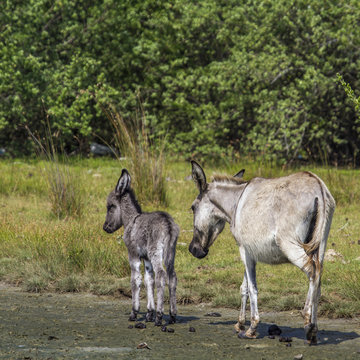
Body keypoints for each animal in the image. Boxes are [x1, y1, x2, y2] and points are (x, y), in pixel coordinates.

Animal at [102, 169, 179, 326]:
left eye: (110, 206)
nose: (105, 228)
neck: (131, 220)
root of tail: (167, 223)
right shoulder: (146, 258)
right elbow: (149, 280)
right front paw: (149, 313)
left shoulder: (133, 255)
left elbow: (135, 280)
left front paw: (134, 312)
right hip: (170, 253)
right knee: (172, 276)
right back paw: (172, 315)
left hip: (156, 252)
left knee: (161, 275)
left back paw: (160, 316)